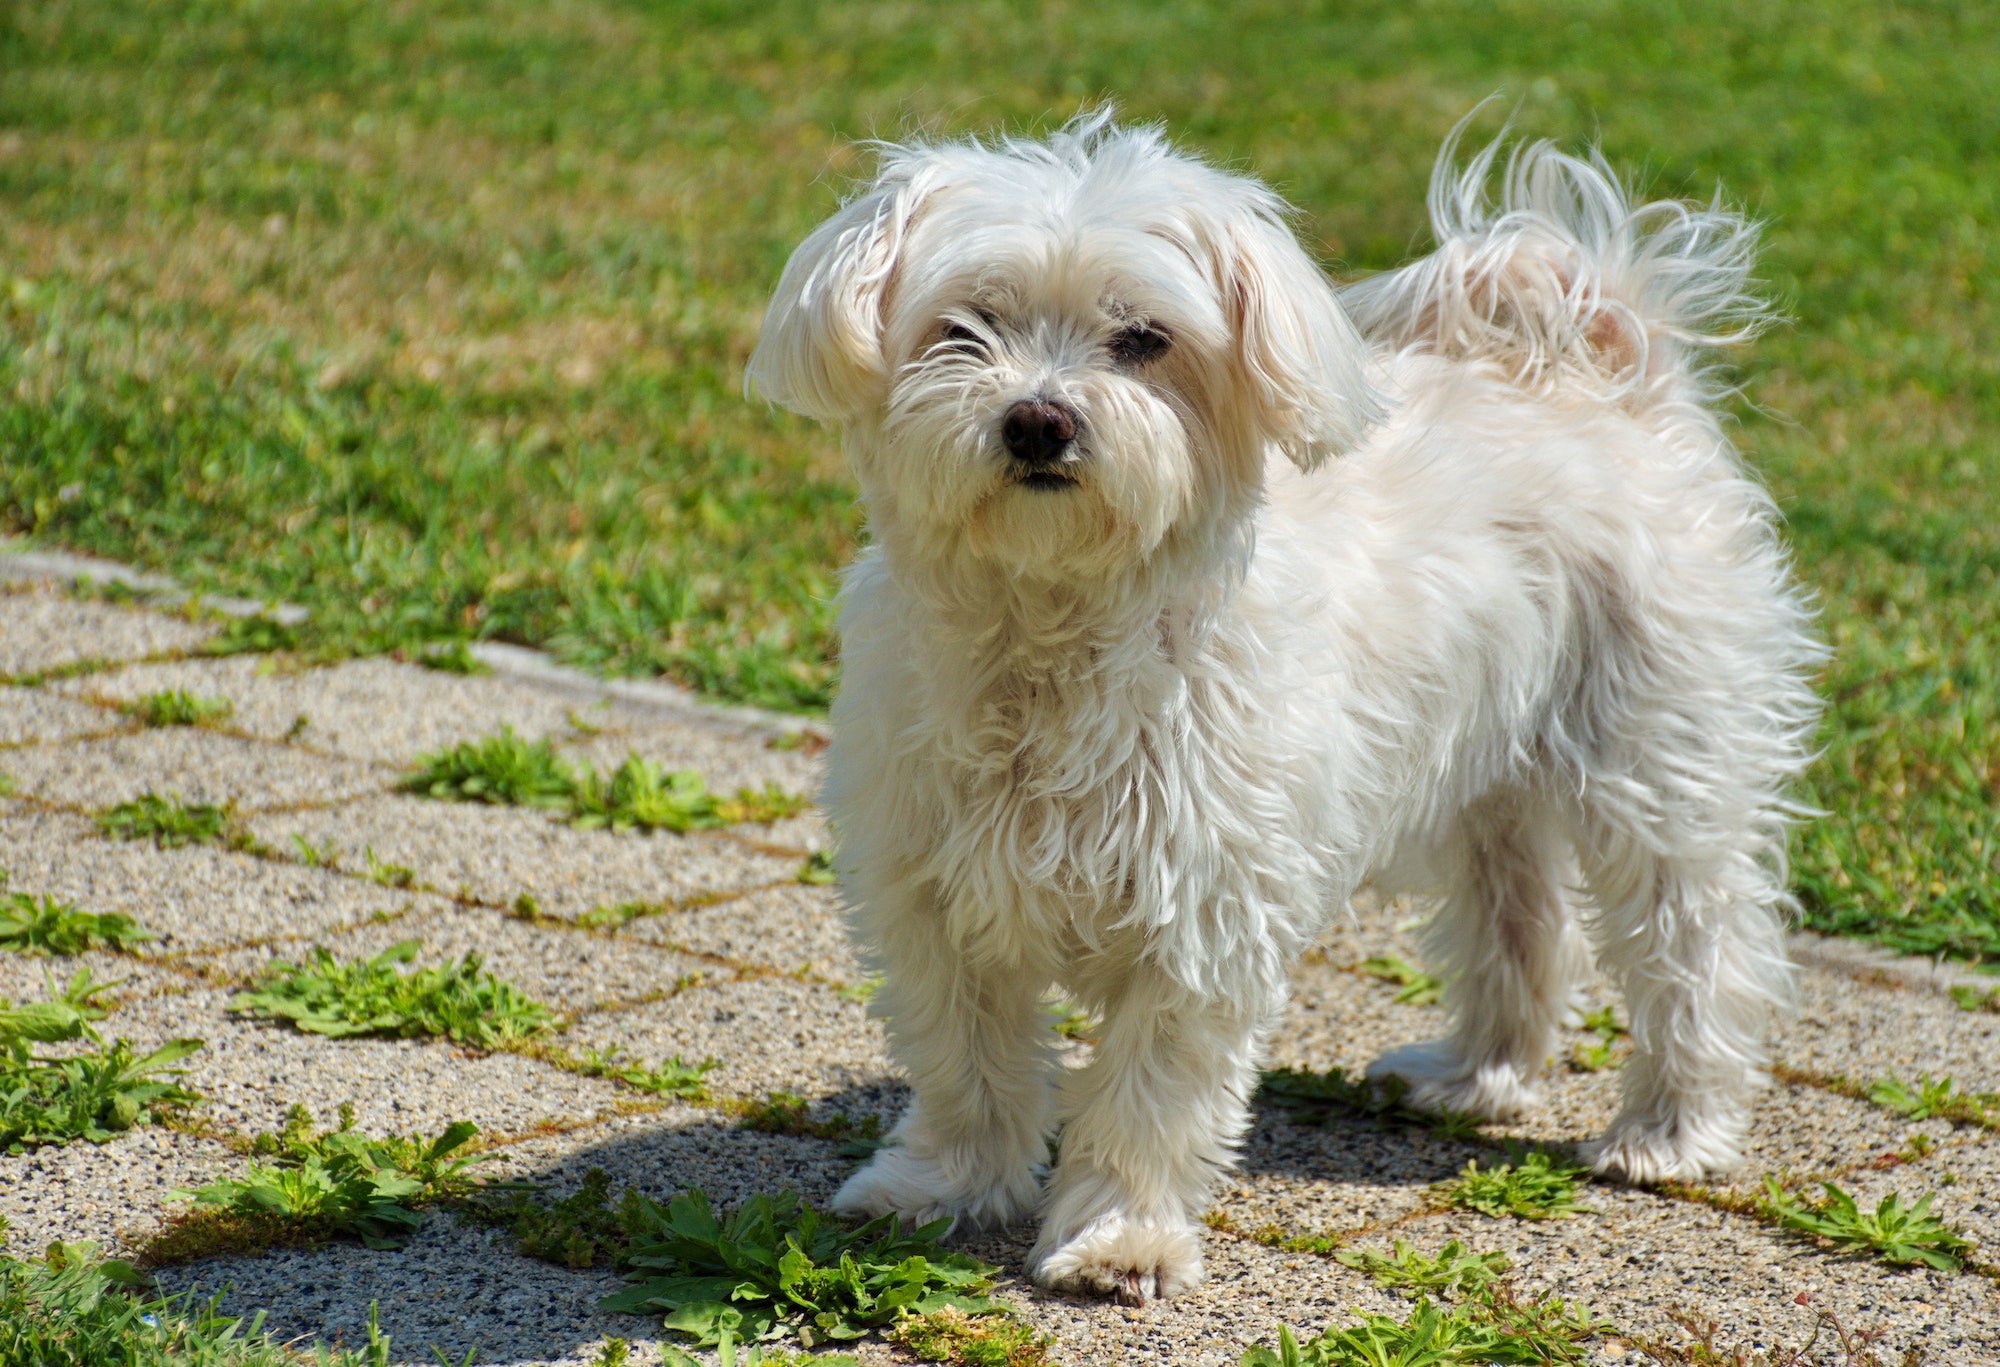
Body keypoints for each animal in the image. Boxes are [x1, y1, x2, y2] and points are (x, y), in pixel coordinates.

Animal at [752, 114, 1832, 1303]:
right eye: (963, 327)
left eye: (1143, 338)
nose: (1038, 419)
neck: (1052, 622)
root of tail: (1601, 372)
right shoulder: (933, 892)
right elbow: (965, 1061)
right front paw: (944, 1184)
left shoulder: (1199, 915)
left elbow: (1150, 1092)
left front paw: (1119, 1236)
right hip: (1486, 780)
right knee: (1521, 924)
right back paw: (1472, 1074)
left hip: (1657, 763)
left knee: (1698, 942)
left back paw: (1670, 1129)